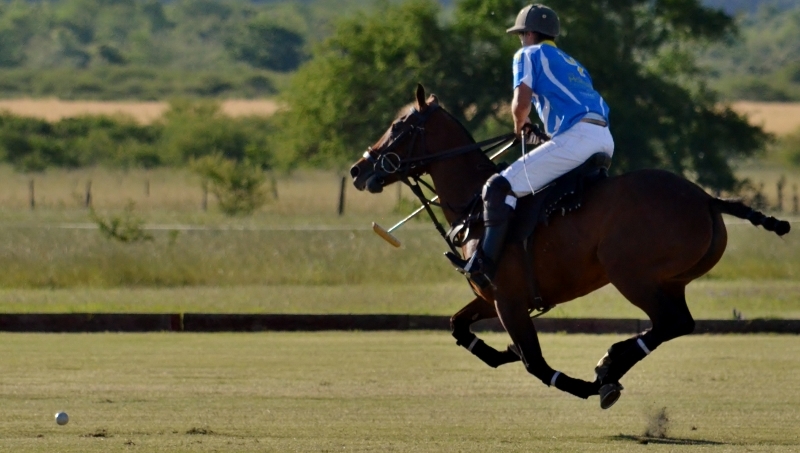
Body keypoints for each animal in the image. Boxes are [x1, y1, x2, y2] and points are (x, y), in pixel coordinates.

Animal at [348, 83, 788, 408]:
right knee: (677, 323)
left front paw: (580, 385)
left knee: (672, 322)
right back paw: (611, 366)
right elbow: (458, 326)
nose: (358, 169)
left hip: (631, 274)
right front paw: (503, 351)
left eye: (399, 126)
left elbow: (536, 364)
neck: (473, 204)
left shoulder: (507, 299)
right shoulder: (497, 296)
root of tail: (706, 199)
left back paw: (608, 367)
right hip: (671, 280)